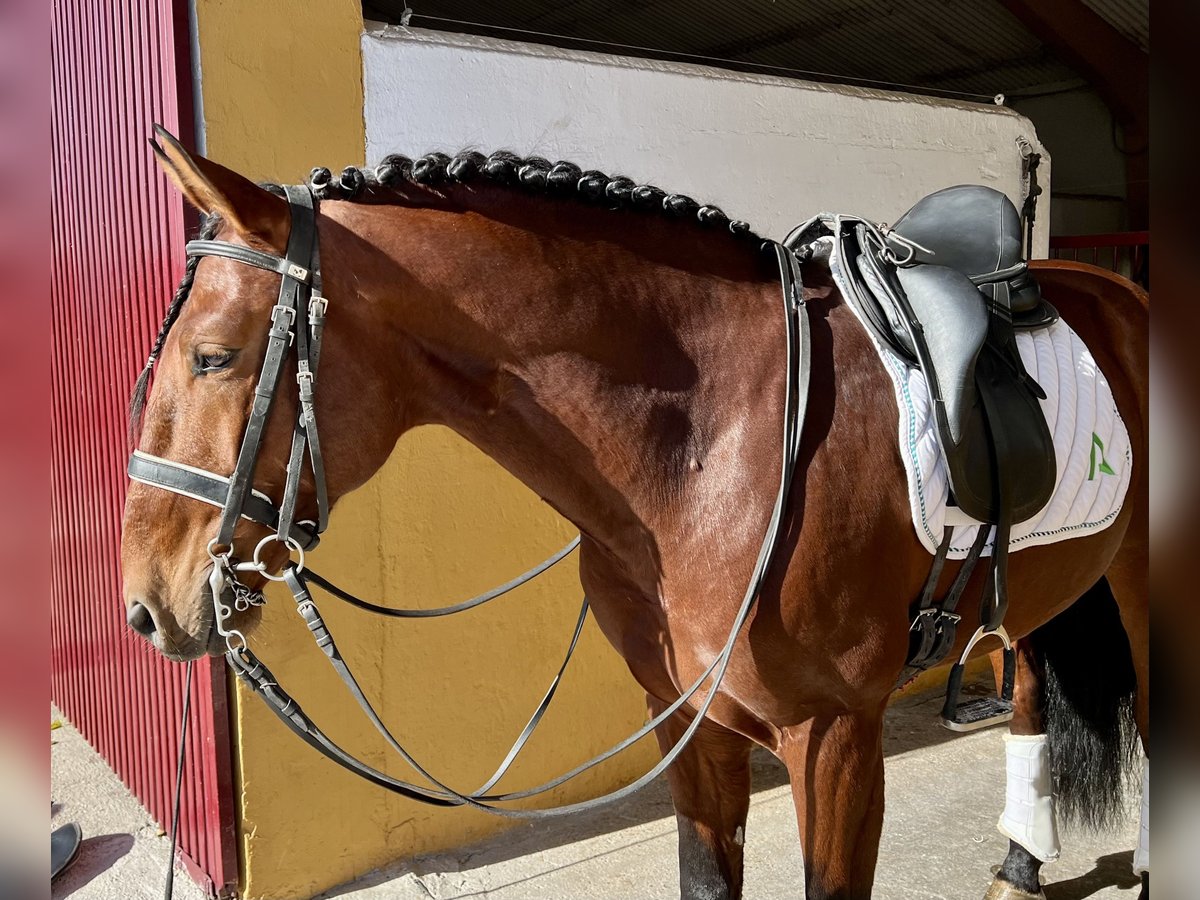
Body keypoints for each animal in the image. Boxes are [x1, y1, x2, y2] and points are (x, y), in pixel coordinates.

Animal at [124, 135, 1152, 900]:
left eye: (213, 357)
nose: (145, 604)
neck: (714, 442)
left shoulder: (835, 737)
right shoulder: (683, 717)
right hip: (1037, 593)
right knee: (1031, 695)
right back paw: (1020, 867)